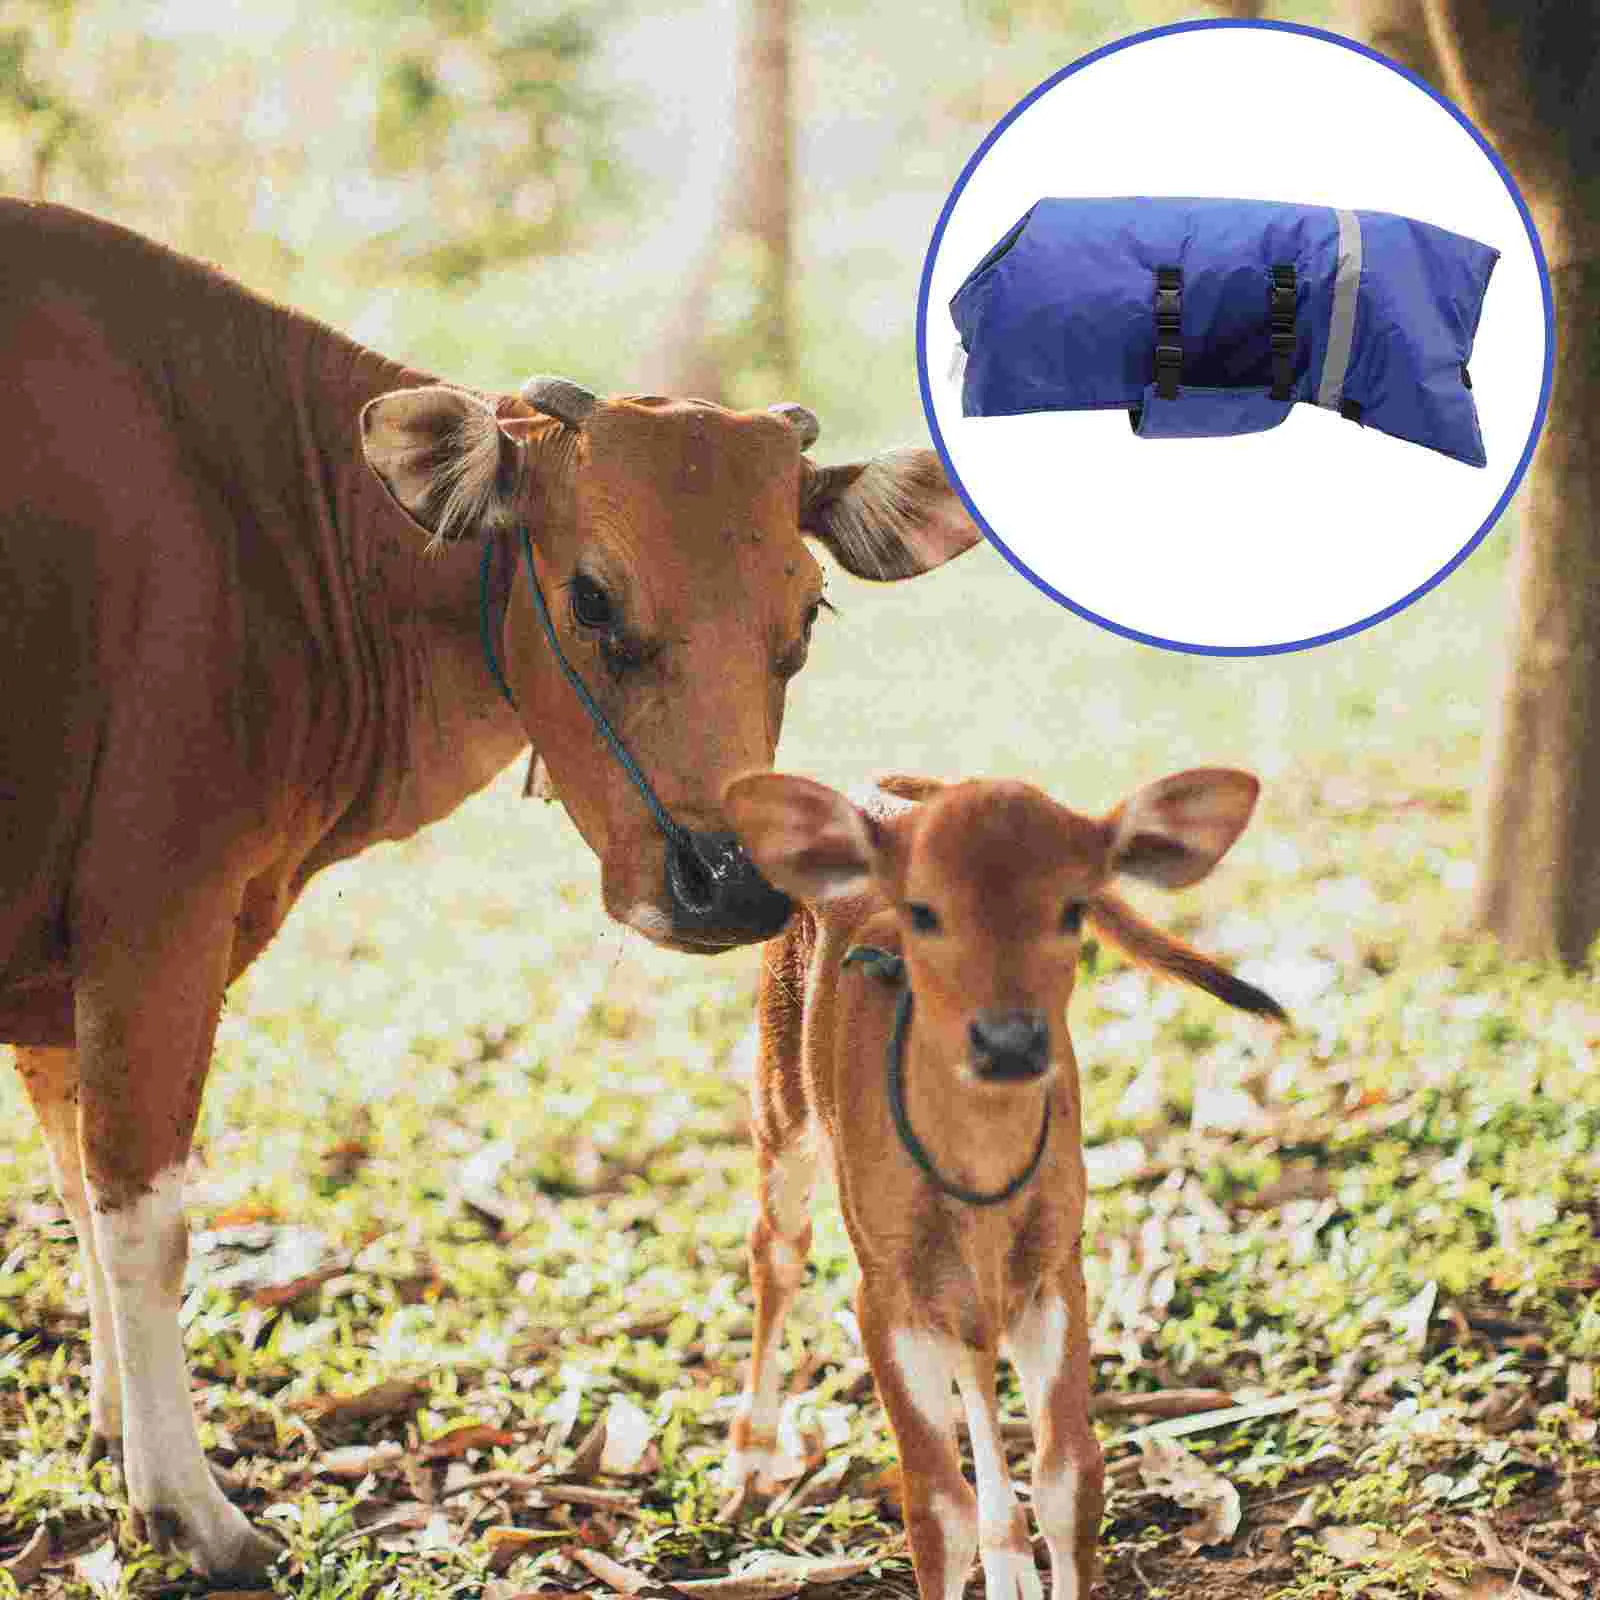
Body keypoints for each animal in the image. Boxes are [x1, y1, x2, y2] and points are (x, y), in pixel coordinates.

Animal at [0, 198, 980, 1580]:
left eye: (807, 614)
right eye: (593, 597)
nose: (732, 884)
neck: (267, 529)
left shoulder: (64, 959)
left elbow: (76, 1181)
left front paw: (112, 1425)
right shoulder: (157, 918)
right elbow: (142, 1206)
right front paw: (187, 1504)